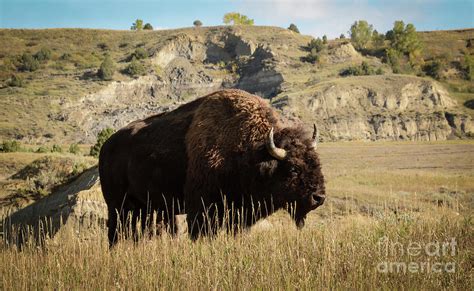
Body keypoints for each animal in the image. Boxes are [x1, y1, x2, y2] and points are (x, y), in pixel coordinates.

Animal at [100, 89, 326, 246]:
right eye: (293, 168)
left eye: (317, 163)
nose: (319, 197)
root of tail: (106, 147)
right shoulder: (201, 209)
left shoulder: (239, 213)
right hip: (116, 206)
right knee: (114, 232)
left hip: (141, 207)